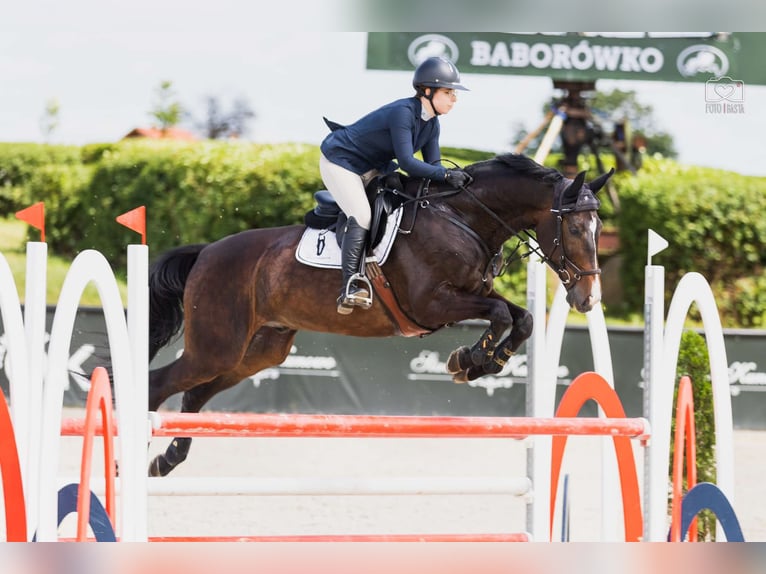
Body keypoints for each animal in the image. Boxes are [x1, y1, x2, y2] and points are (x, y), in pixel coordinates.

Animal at [146, 153, 612, 476]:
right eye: (574, 229)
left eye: (598, 229)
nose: (588, 299)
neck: (462, 218)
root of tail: (205, 252)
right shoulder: (432, 304)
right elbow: (499, 313)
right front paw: (471, 360)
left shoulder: (471, 294)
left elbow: (522, 318)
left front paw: (482, 362)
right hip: (216, 347)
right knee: (159, 384)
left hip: (257, 351)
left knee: (194, 394)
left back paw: (168, 459)